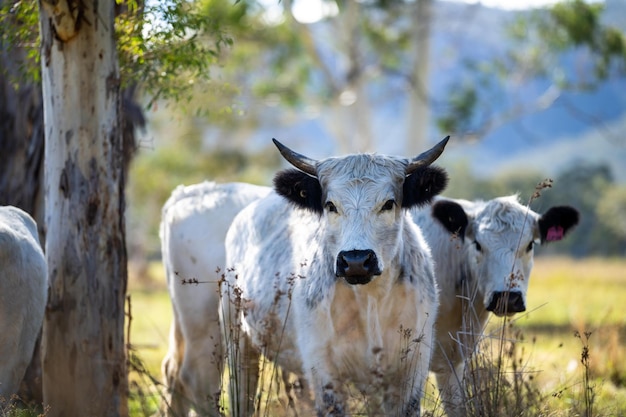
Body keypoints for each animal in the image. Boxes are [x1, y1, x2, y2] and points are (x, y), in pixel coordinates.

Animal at [219, 137, 448, 416]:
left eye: (388, 203)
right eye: (330, 205)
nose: (356, 261)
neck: (370, 300)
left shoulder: (411, 371)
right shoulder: (324, 371)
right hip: (238, 345)